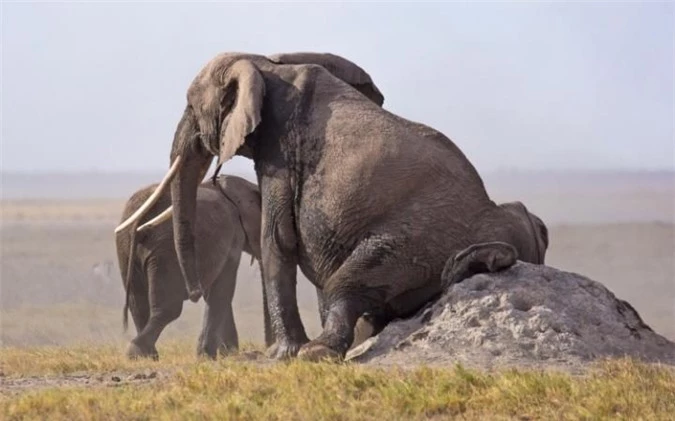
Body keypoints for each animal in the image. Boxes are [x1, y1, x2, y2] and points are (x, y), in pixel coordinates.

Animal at [115, 174, 266, 358]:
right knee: (169, 308)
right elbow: (223, 289)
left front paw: (227, 353)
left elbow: (214, 291)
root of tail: (140, 218)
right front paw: (210, 355)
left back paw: (148, 356)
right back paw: (137, 353)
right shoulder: (233, 237)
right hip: (167, 249)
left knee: (138, 304)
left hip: (126, 244)